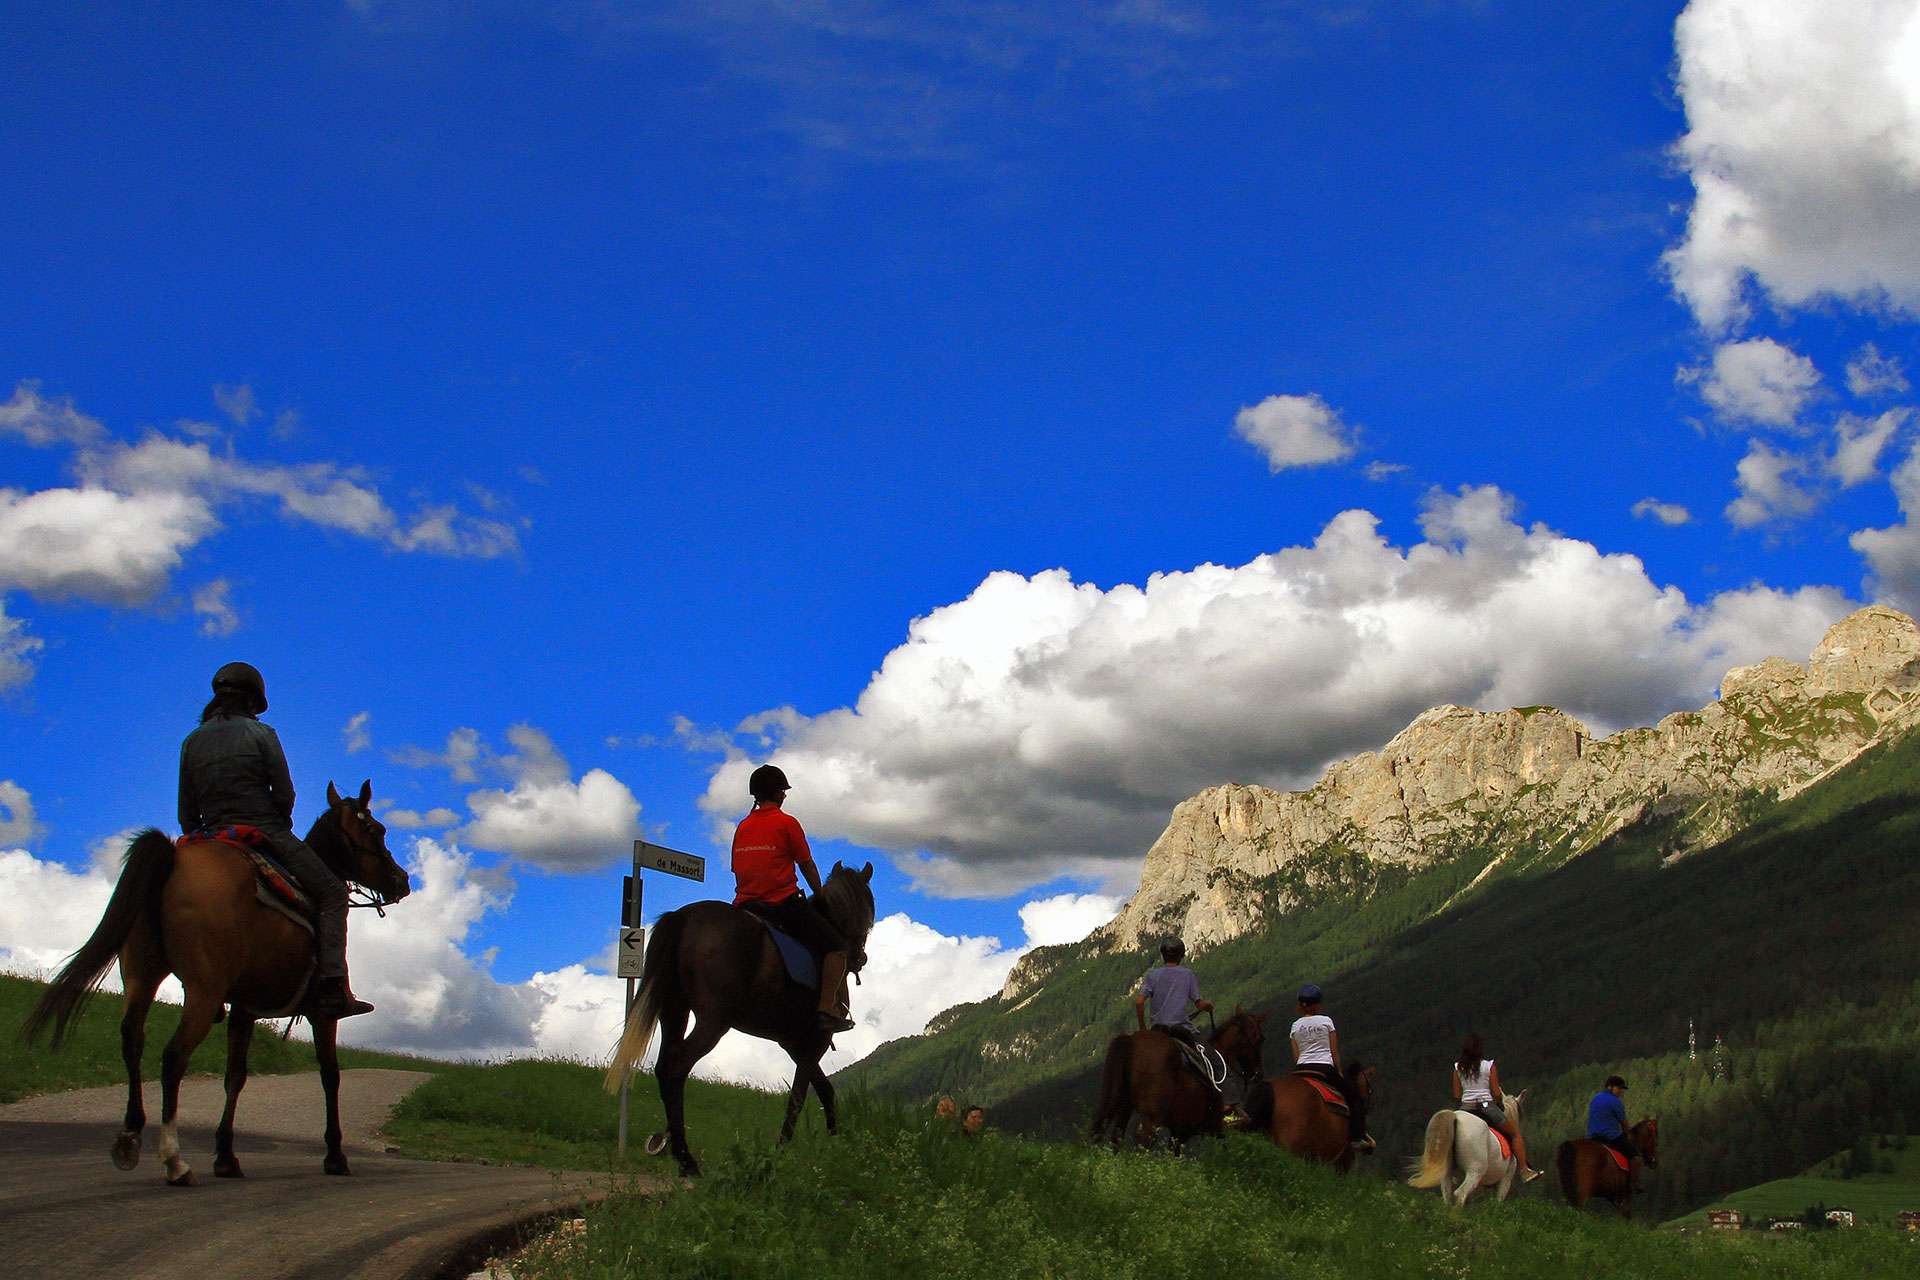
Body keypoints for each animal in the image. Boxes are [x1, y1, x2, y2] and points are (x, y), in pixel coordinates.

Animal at [22, 781, 411, 1186]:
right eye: (377, 830)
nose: (402, 880)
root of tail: (173, 861)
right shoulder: (323, 1015)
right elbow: (330, 1076)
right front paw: (335, 1155)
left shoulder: (243, 1010)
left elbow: (235, 1077)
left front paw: (226, 1156)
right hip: (203, 992)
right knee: (173, 1056)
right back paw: (174, 1161)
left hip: (142, 978)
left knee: (132, 1040)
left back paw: (130, 1138)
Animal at [602, 861, 876, 1177]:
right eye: (869, 911)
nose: (860, 957)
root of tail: (683, 917)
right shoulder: (816, 1039)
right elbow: (798, 1096)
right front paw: (782, 1151)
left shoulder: (793, 1043)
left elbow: (825, 1091)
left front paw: (835, 1143)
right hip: (713, 1022)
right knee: (676, 1067)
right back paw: (687, 1159)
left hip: (674, 1011)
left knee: (663, 1067)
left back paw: (677, 1151)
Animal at [1089, 1009, 1268, 1150]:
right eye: (1260, 1038)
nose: (1258, 1074)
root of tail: (1131, 1042)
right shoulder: (1193, 1131)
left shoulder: (1178, 1131)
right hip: (1151, 1118)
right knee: (1141, 1142)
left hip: (1124, 1107)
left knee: (1114, 1138)